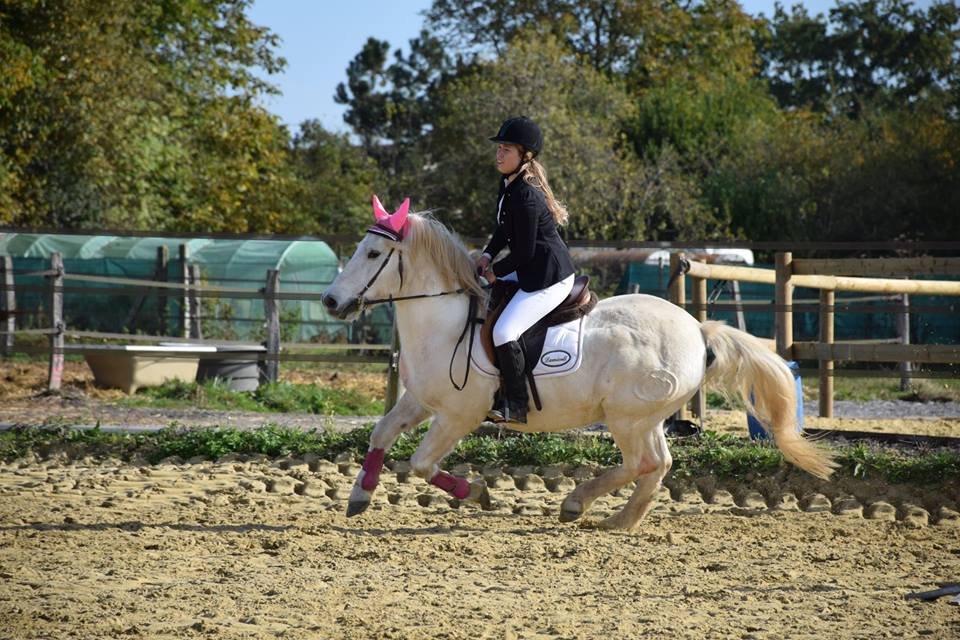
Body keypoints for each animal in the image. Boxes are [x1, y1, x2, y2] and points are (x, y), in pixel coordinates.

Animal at [322, 205, 832, 528]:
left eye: (372, 254)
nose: (330, 301)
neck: (444, 322)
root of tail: (696, 329)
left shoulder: (458, 415)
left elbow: (422, 462)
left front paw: (479, 494)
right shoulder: (421, 401)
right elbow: (381, 434)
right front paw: (360, 495)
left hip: (625, 417)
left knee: (643, 462)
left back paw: (576, 504)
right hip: (644, 418)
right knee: (657, 464)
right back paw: (619, 520)